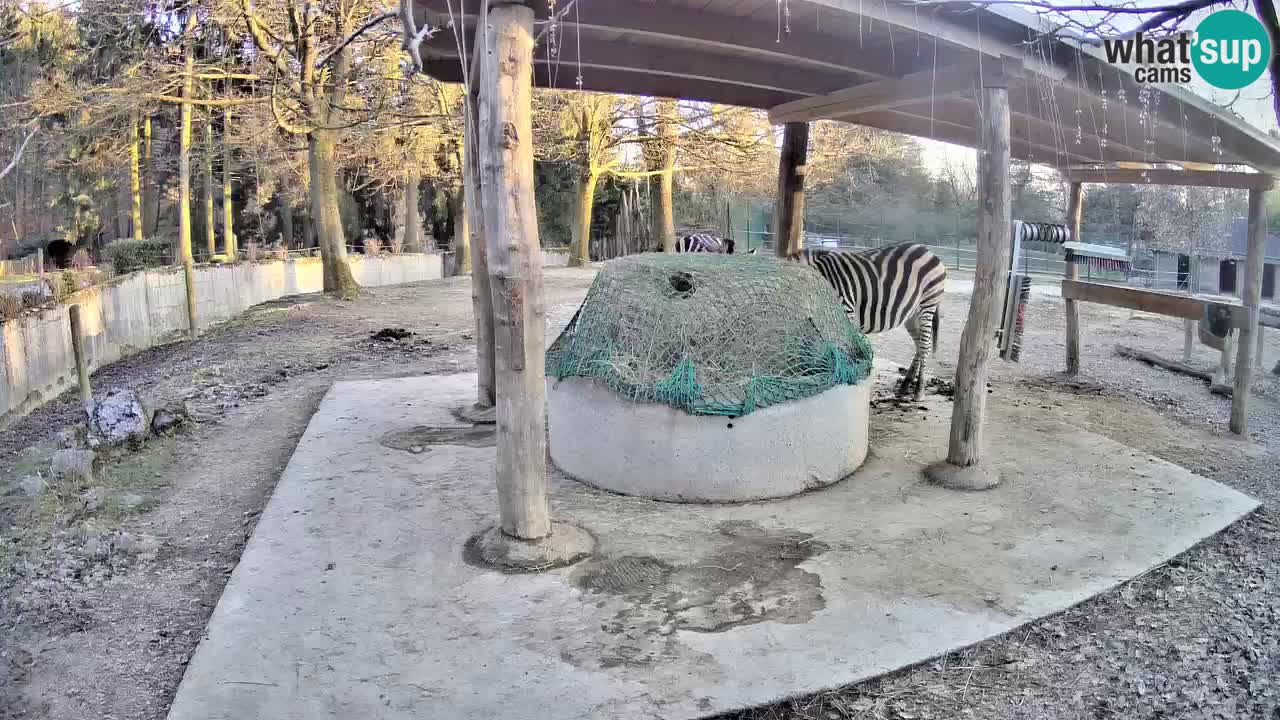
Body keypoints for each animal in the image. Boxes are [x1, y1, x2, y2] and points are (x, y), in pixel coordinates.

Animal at [783, 240, 947, 397]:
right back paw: (906, 384)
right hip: (911, 315)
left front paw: (845, 374)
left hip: (927, 305)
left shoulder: (845, 311)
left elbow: (842, 347)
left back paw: (919, 390)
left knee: (924, 346)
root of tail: (928, 251)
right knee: (919, 344)